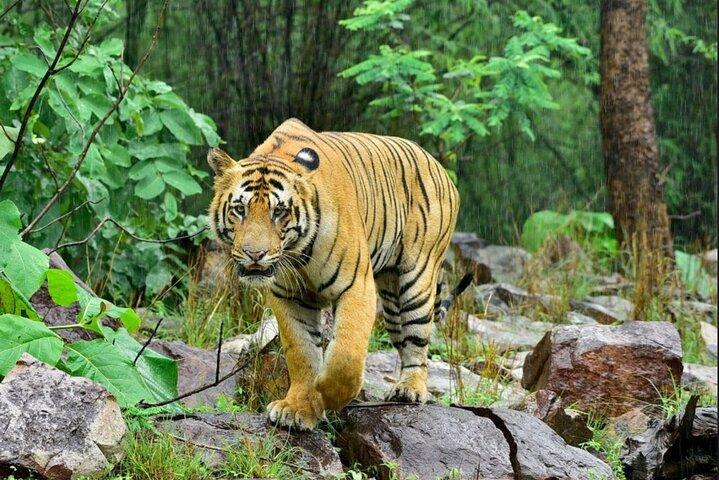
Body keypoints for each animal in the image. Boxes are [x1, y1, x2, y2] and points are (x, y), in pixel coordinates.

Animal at [207, 118, 467, 430]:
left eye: (279, 212)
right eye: (239, 209)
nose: (254, 254)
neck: (298, 255)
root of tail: (440, 167)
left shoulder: (356, 286)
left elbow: (346, 354)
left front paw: (328, 396)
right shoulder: (289, 297)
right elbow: (302, 352)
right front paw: (297, 408)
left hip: (416, 280)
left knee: (418, 342)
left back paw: (410, 389)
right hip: (392, 300)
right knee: (404, 339)